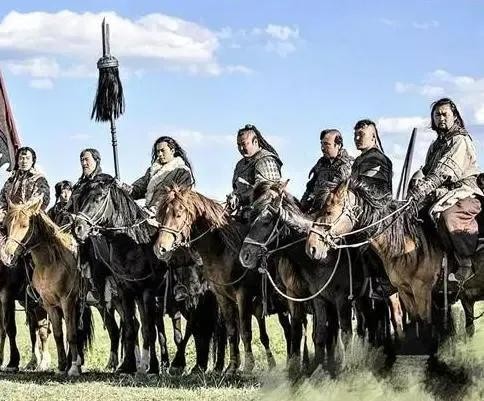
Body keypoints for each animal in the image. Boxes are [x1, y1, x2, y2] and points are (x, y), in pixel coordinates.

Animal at [0, 196, 94, 376]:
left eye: (25, 225)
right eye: (5, 226)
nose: (8, 255)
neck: (51, 262)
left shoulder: (67, 301)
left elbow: (70, 333)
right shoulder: (49, 303)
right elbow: (56, 333)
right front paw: (62, 366)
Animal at [153, 185, 288, 374]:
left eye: (178, 214)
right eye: (161, 215)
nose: (160, 248)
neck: (223, 250)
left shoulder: (243, 295)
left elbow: (245, 331)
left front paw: (248, 366)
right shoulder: (222, 297)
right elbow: (232, 331)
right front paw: (231, 367)